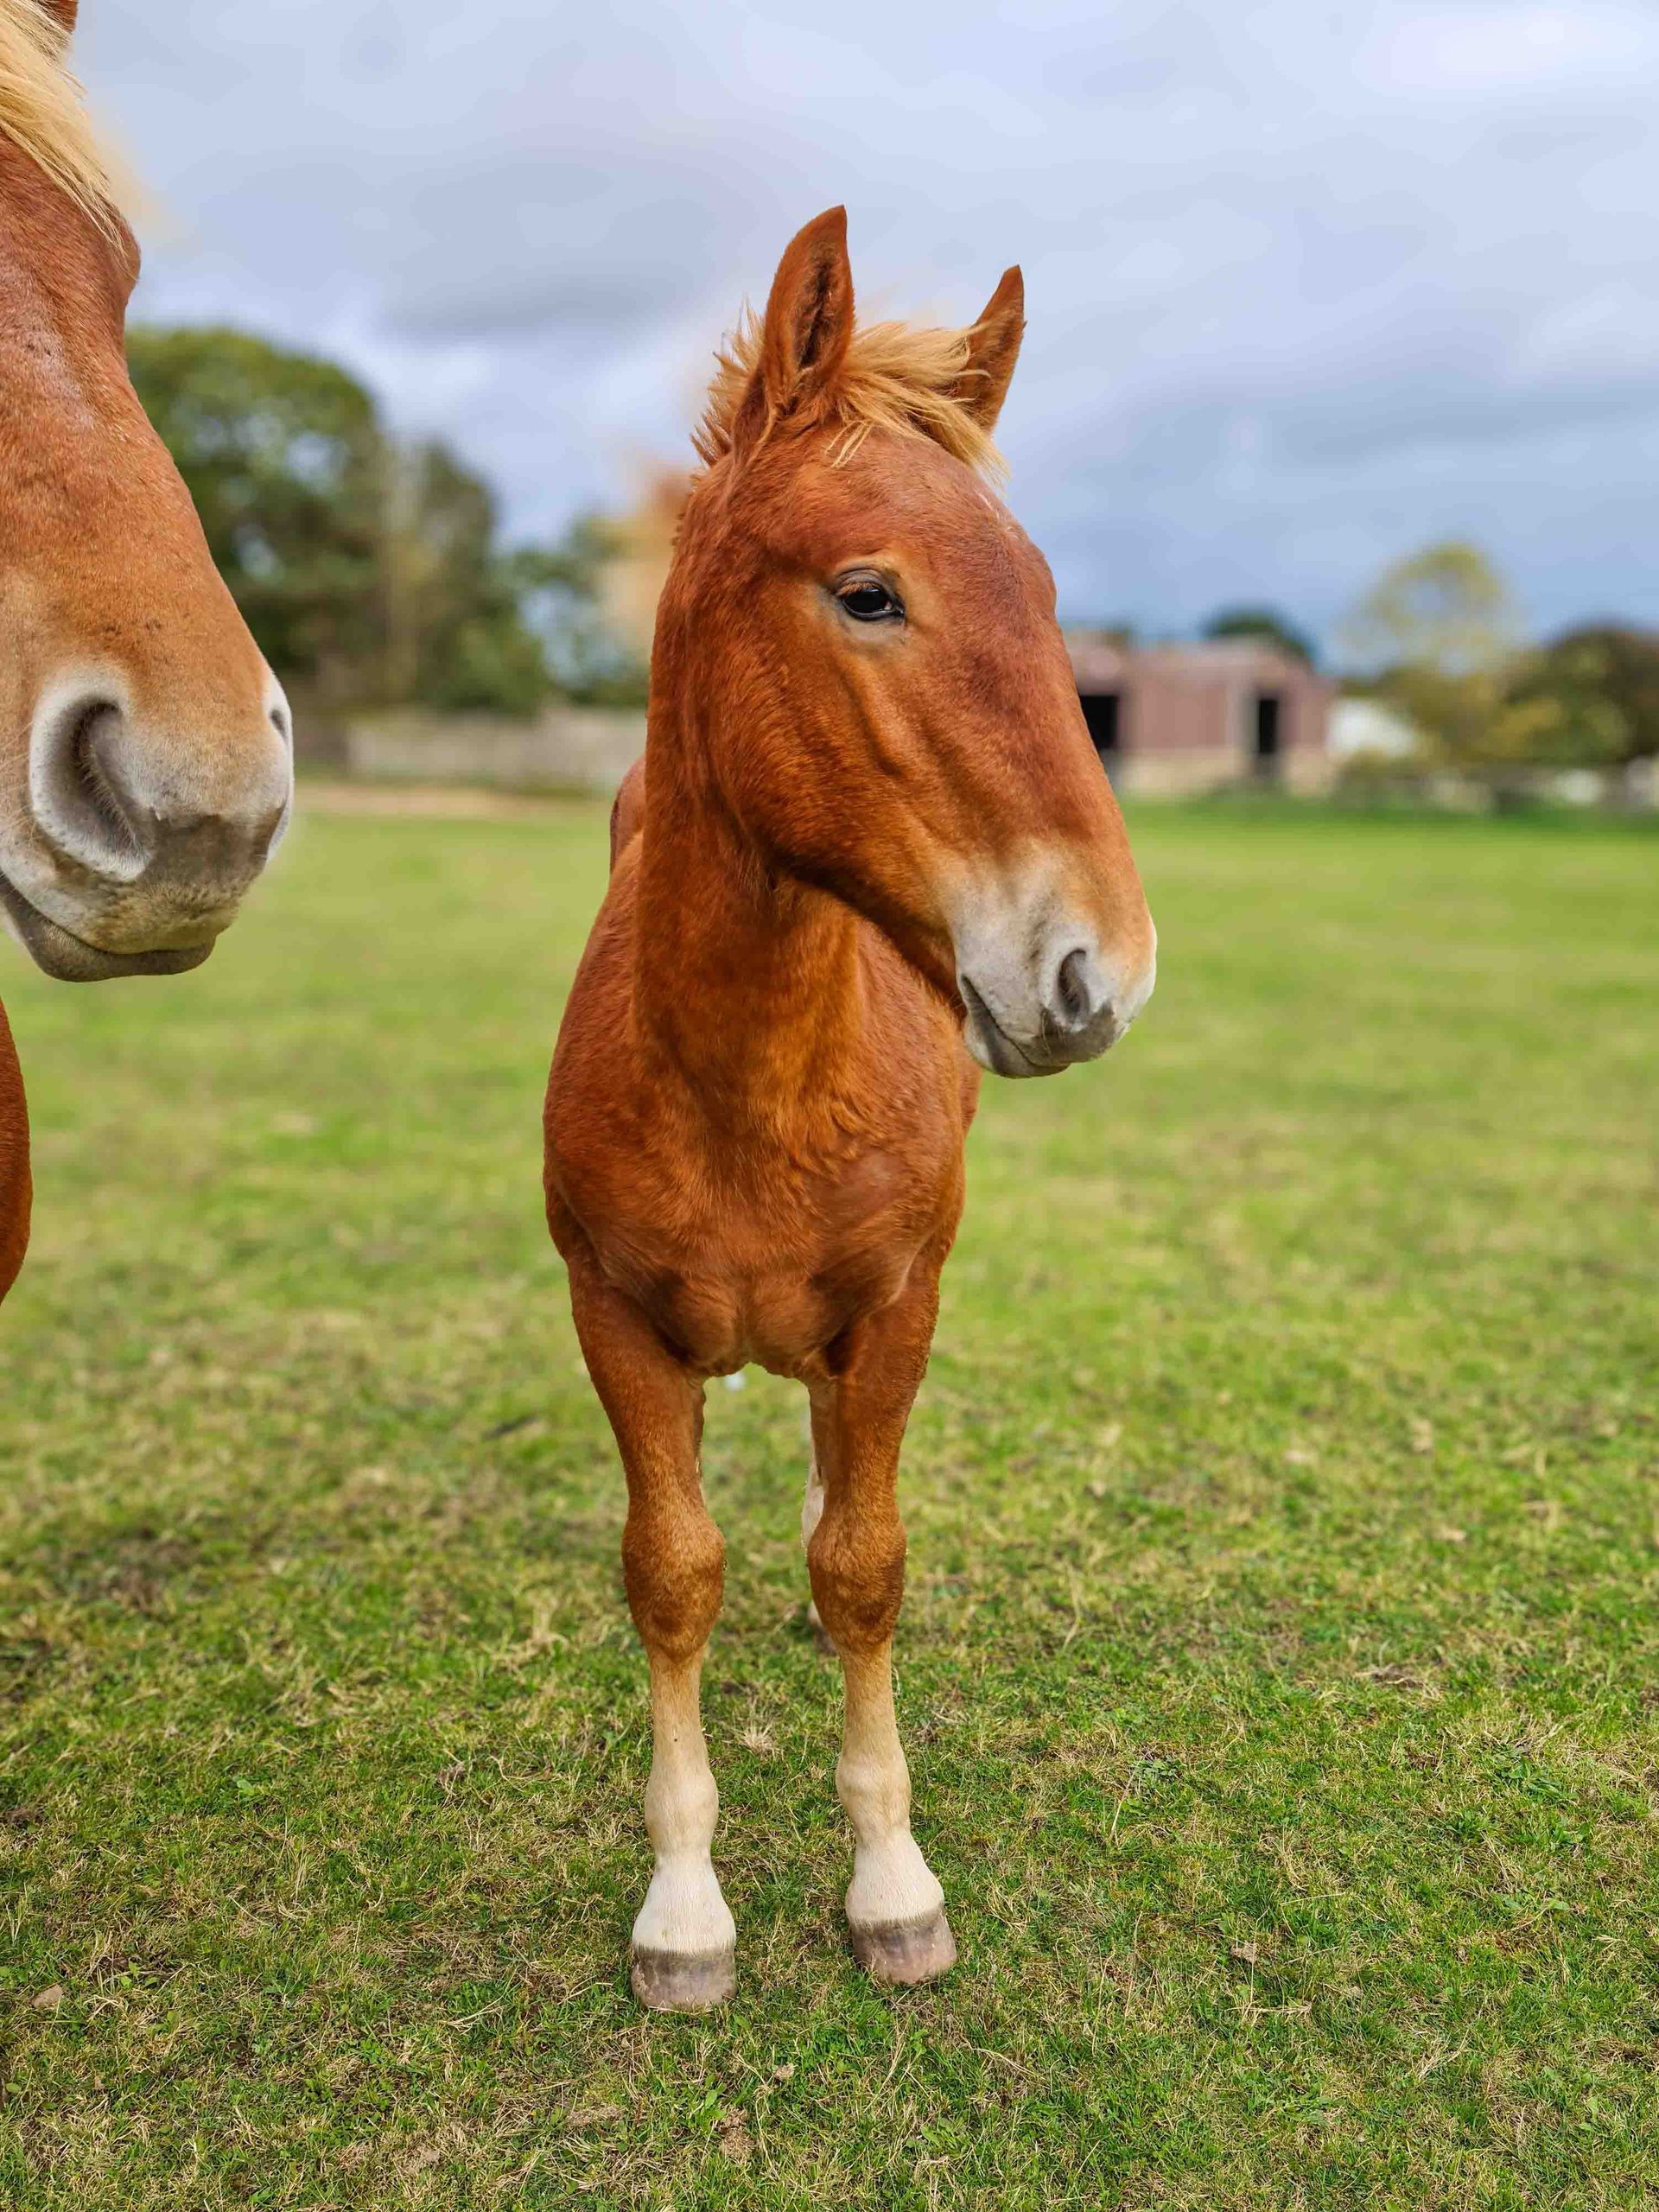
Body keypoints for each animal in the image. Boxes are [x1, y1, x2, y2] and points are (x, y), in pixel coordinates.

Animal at [544, 207, 1156, 2011]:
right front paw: (684, 1910)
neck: (753, 1083)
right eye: (869, 592)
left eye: (1044, 593)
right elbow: (671, 1572)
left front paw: (893, 1883)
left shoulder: (900, 1307)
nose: (1102, 968)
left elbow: (869, 1565)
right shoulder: (613, 1320)